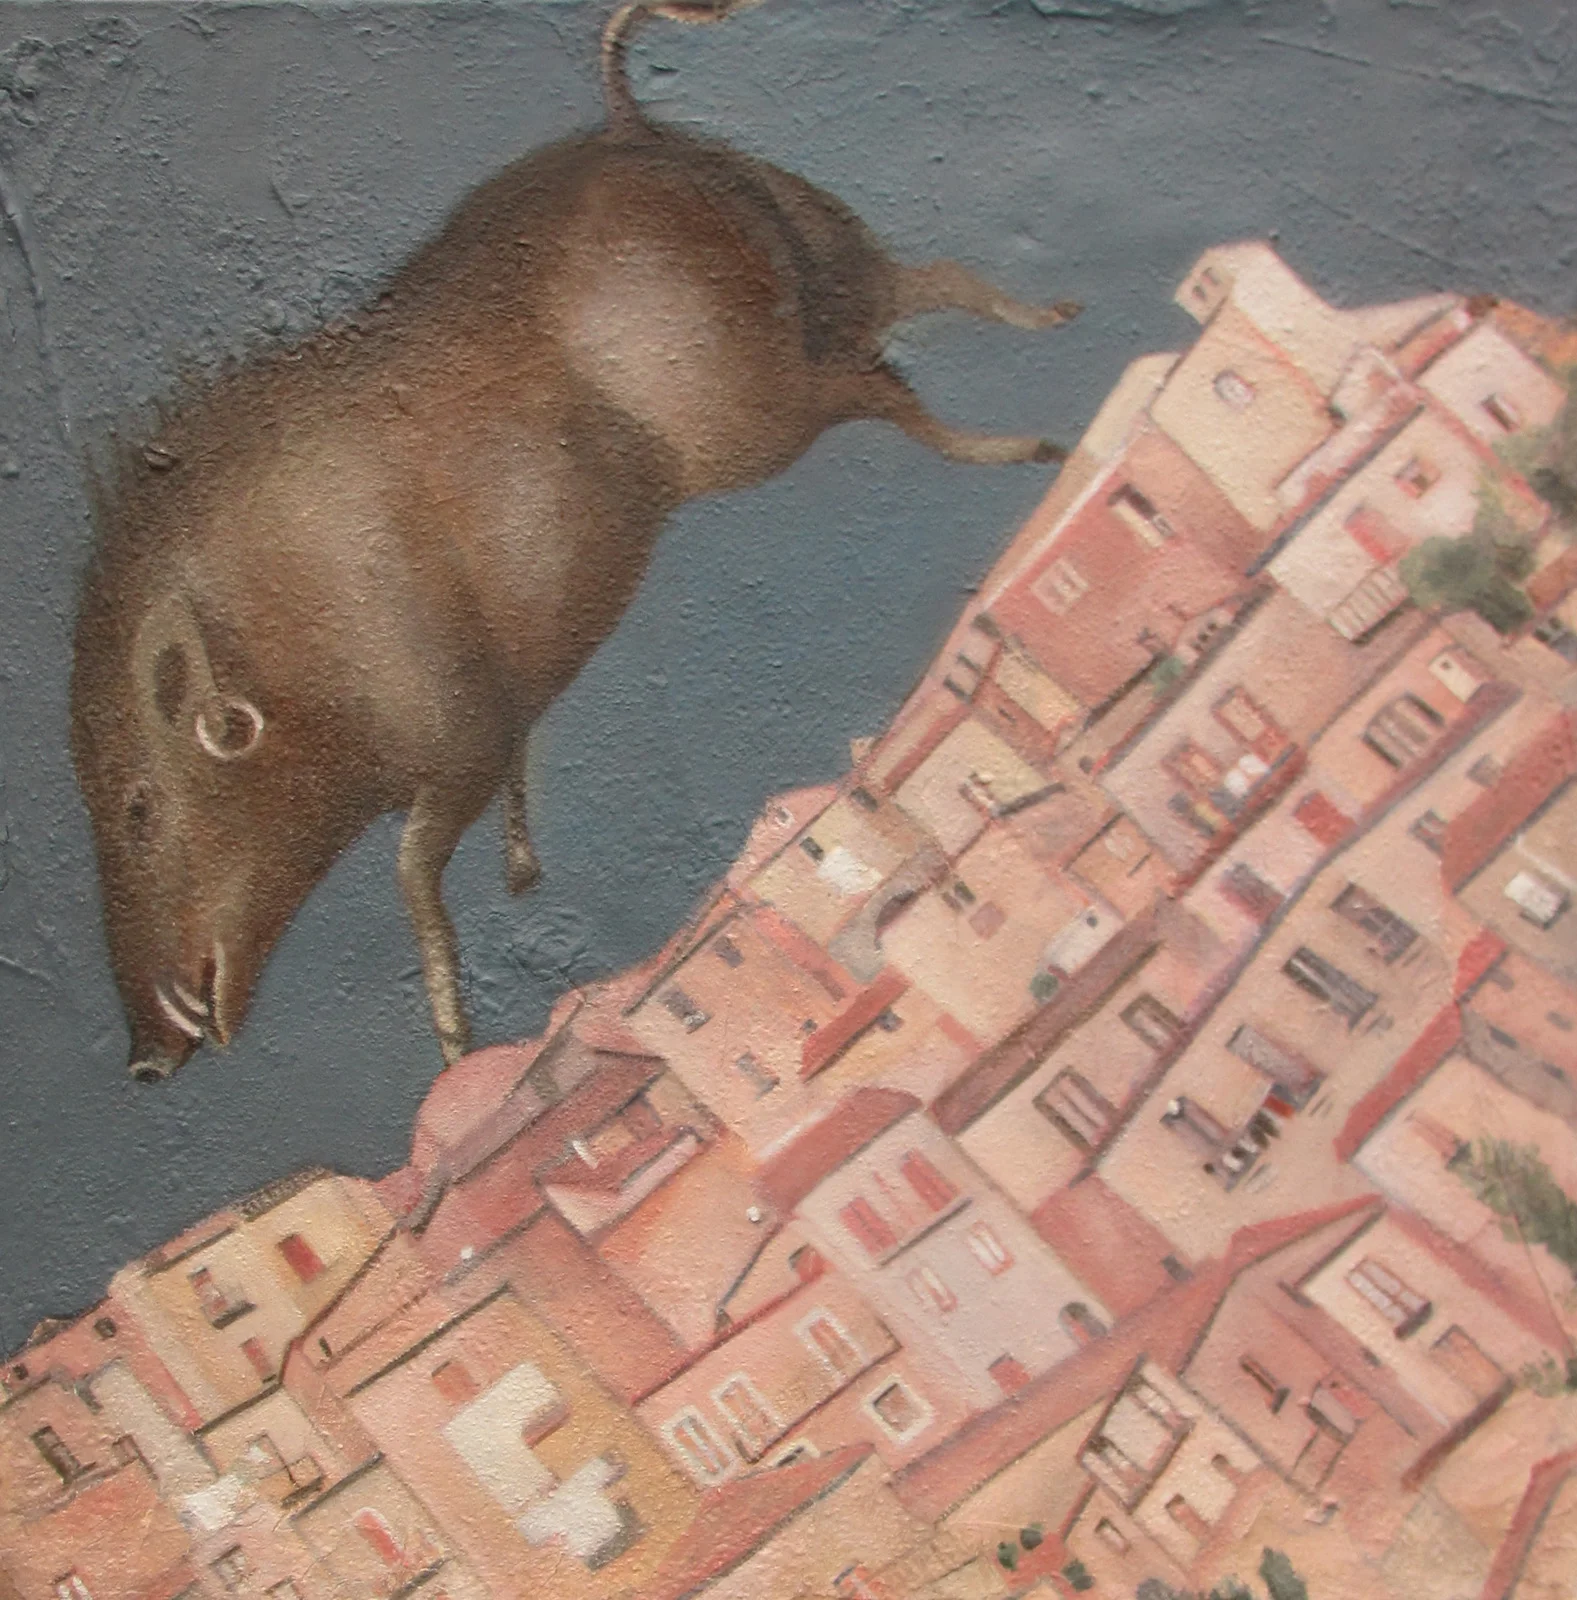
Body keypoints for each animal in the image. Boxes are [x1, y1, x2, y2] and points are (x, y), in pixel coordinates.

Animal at [70, 0, 1081, 1083]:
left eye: (138, 808)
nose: (142, 1063)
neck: (290, 635)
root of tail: (628, 130)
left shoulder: (460, 744)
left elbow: (416, 876)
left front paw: (453, 1039)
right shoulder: (492, 731)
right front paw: (520, 883)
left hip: (769, 406)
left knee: (896, 378)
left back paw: (1034, 427)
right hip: (829, 277)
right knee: (923, 293)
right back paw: (1053, 339)